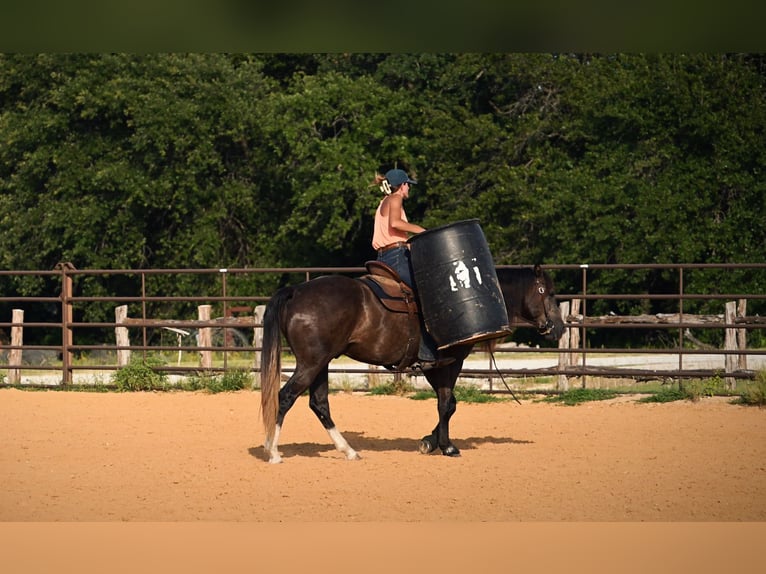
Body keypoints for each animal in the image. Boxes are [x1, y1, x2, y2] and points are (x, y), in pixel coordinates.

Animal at [260, 264, 565, 463]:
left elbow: (448, 403)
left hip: (321, 364)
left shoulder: (433, 365)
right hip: (311, 363)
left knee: (319, 403)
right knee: (285, 397)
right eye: (548, 292)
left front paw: (430, 441)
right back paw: (273, 452)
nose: (559, 328)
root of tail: (297, 291)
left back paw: (348, 450)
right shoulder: (450, 362)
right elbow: (447, 403)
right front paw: (445, 446)